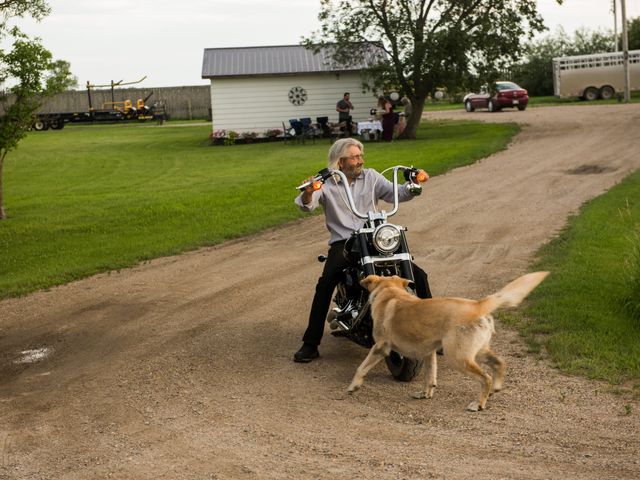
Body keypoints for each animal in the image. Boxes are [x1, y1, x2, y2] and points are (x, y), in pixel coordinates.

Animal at [348, 272, 548, 410]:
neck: (390, 292)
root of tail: (478, 305)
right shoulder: (429, 352)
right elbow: (430, 376)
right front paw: (425, 394)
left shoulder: (380, 347)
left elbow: (361, 368)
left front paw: (353, 386)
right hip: (477, 351)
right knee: (499, 362)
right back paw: (496, 388)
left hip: (457, 357)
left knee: (486, 377)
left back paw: (479, 404)